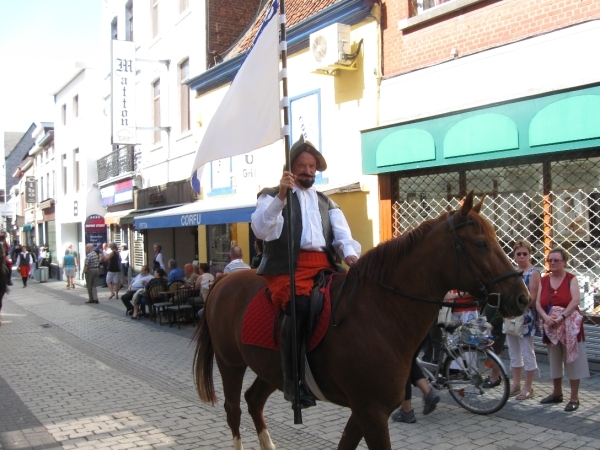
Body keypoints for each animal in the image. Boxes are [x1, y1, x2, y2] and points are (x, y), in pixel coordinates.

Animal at [195, 192, 528, 448]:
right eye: (481, 244)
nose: (522, 297)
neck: (379, 313)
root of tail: (223, 280)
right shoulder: (371, 412)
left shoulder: (364, 411)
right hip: (230, 364)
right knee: (233, 410)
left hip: (271, 369)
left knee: (253, 401)